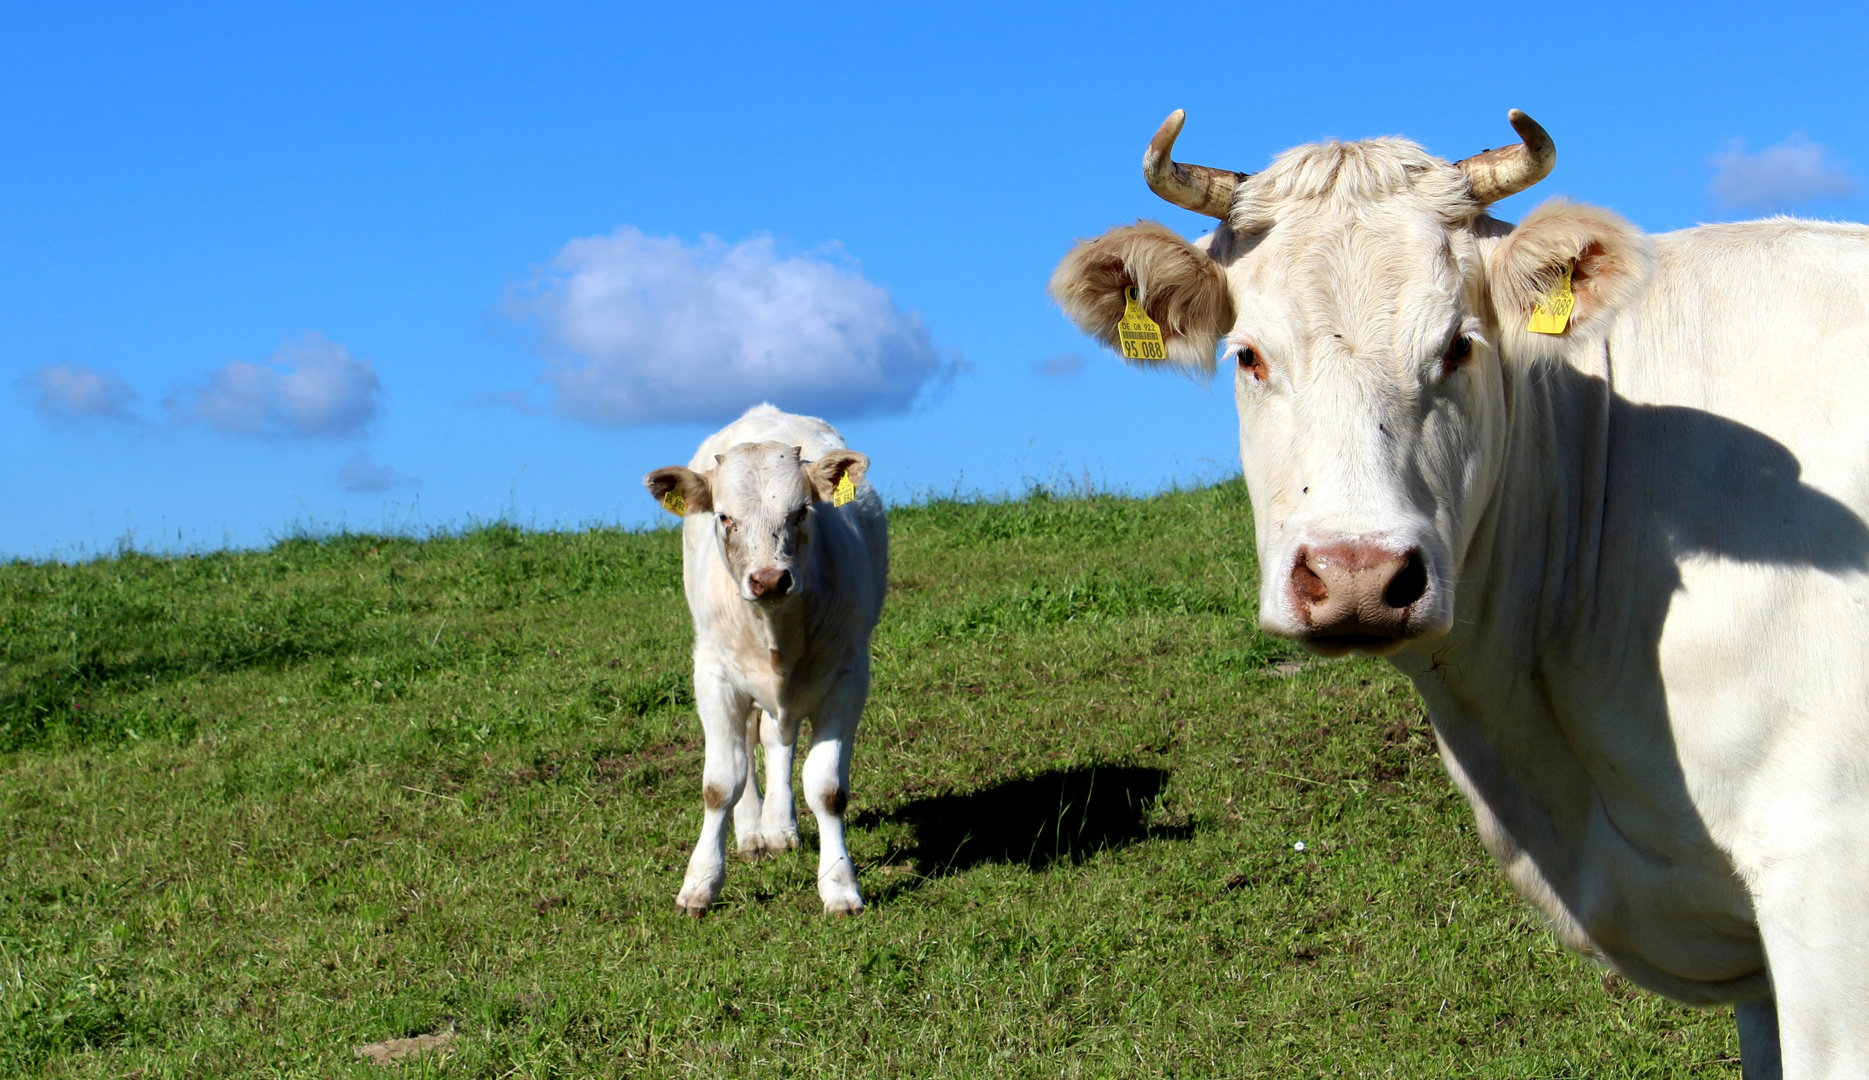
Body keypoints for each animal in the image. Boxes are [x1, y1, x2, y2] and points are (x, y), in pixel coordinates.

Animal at [642, 407, 882, 911]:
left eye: (801, 511)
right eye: (724, 516)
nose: (770, 579)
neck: (777, 627)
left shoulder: (849, 675)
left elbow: (827, 789)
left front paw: (839, 885)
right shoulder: (712, 675)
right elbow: (720, 784)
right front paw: (700, 883)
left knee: (776, 741)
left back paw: (778, 827)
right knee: (751, 749)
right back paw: (752, 832)